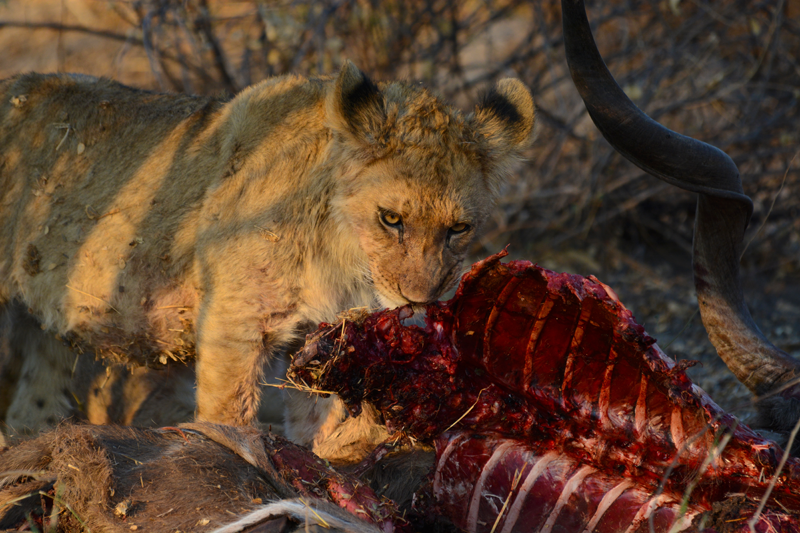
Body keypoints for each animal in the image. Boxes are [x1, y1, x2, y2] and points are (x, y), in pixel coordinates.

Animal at [0, 61, 535, 453]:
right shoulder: (232, 323)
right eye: (391, 218)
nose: (421, 299)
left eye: (459, 228)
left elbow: (313, 428)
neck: (342, 258)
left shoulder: (322, 339)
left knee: (29, 409)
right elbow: (228, 418)